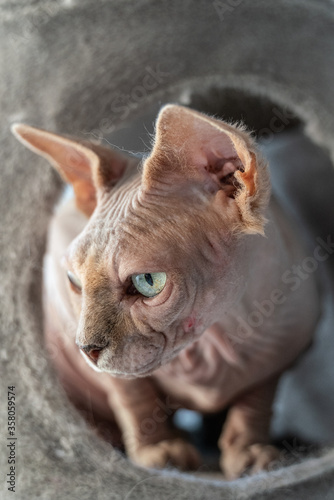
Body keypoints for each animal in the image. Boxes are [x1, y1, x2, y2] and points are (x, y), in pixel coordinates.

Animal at [11, 106, 320, 480]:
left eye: (148, 281)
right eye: (73, 281)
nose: (86, 349)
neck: (211, 345)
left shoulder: (282, 352)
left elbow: (256, 399)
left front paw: (250, 454)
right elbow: (133, 394)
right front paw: (159, 451)